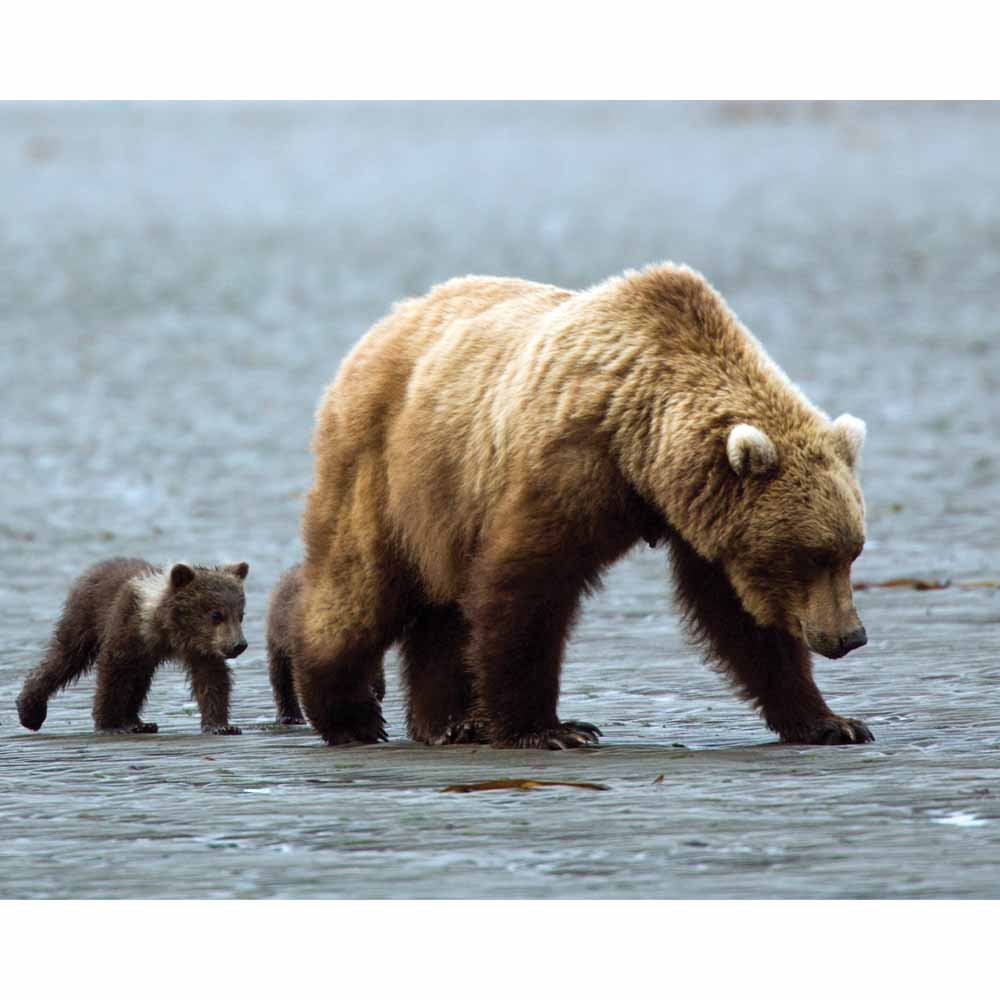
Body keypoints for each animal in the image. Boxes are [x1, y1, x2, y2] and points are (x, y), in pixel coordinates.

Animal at [16, 558, 249, 735]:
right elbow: (112, 673)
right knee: (66, 657)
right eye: (216, 614)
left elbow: (212, 679)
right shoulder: (128, 627)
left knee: (138, 680)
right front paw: (109, 725)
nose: (239, 645)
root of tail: (96, 568)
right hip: (85, 618)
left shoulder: (202, 648)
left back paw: (138, 723)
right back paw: (30, 712)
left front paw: (222, 726)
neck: (168, 630)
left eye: (240, 615)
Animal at [294, 263, 872, 749]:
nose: (850, 636)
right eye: (813, 555)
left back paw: (451, 723)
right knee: (361, 584)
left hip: (446, 506)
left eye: (851, 552)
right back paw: (348, 714)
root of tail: (385, 323)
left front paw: (831, 721)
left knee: (441, 608)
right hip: (390, 467)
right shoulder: (573, 465)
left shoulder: (699, 515)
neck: (644, 445)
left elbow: (737, 617)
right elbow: (527, 586)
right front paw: (551, 729)